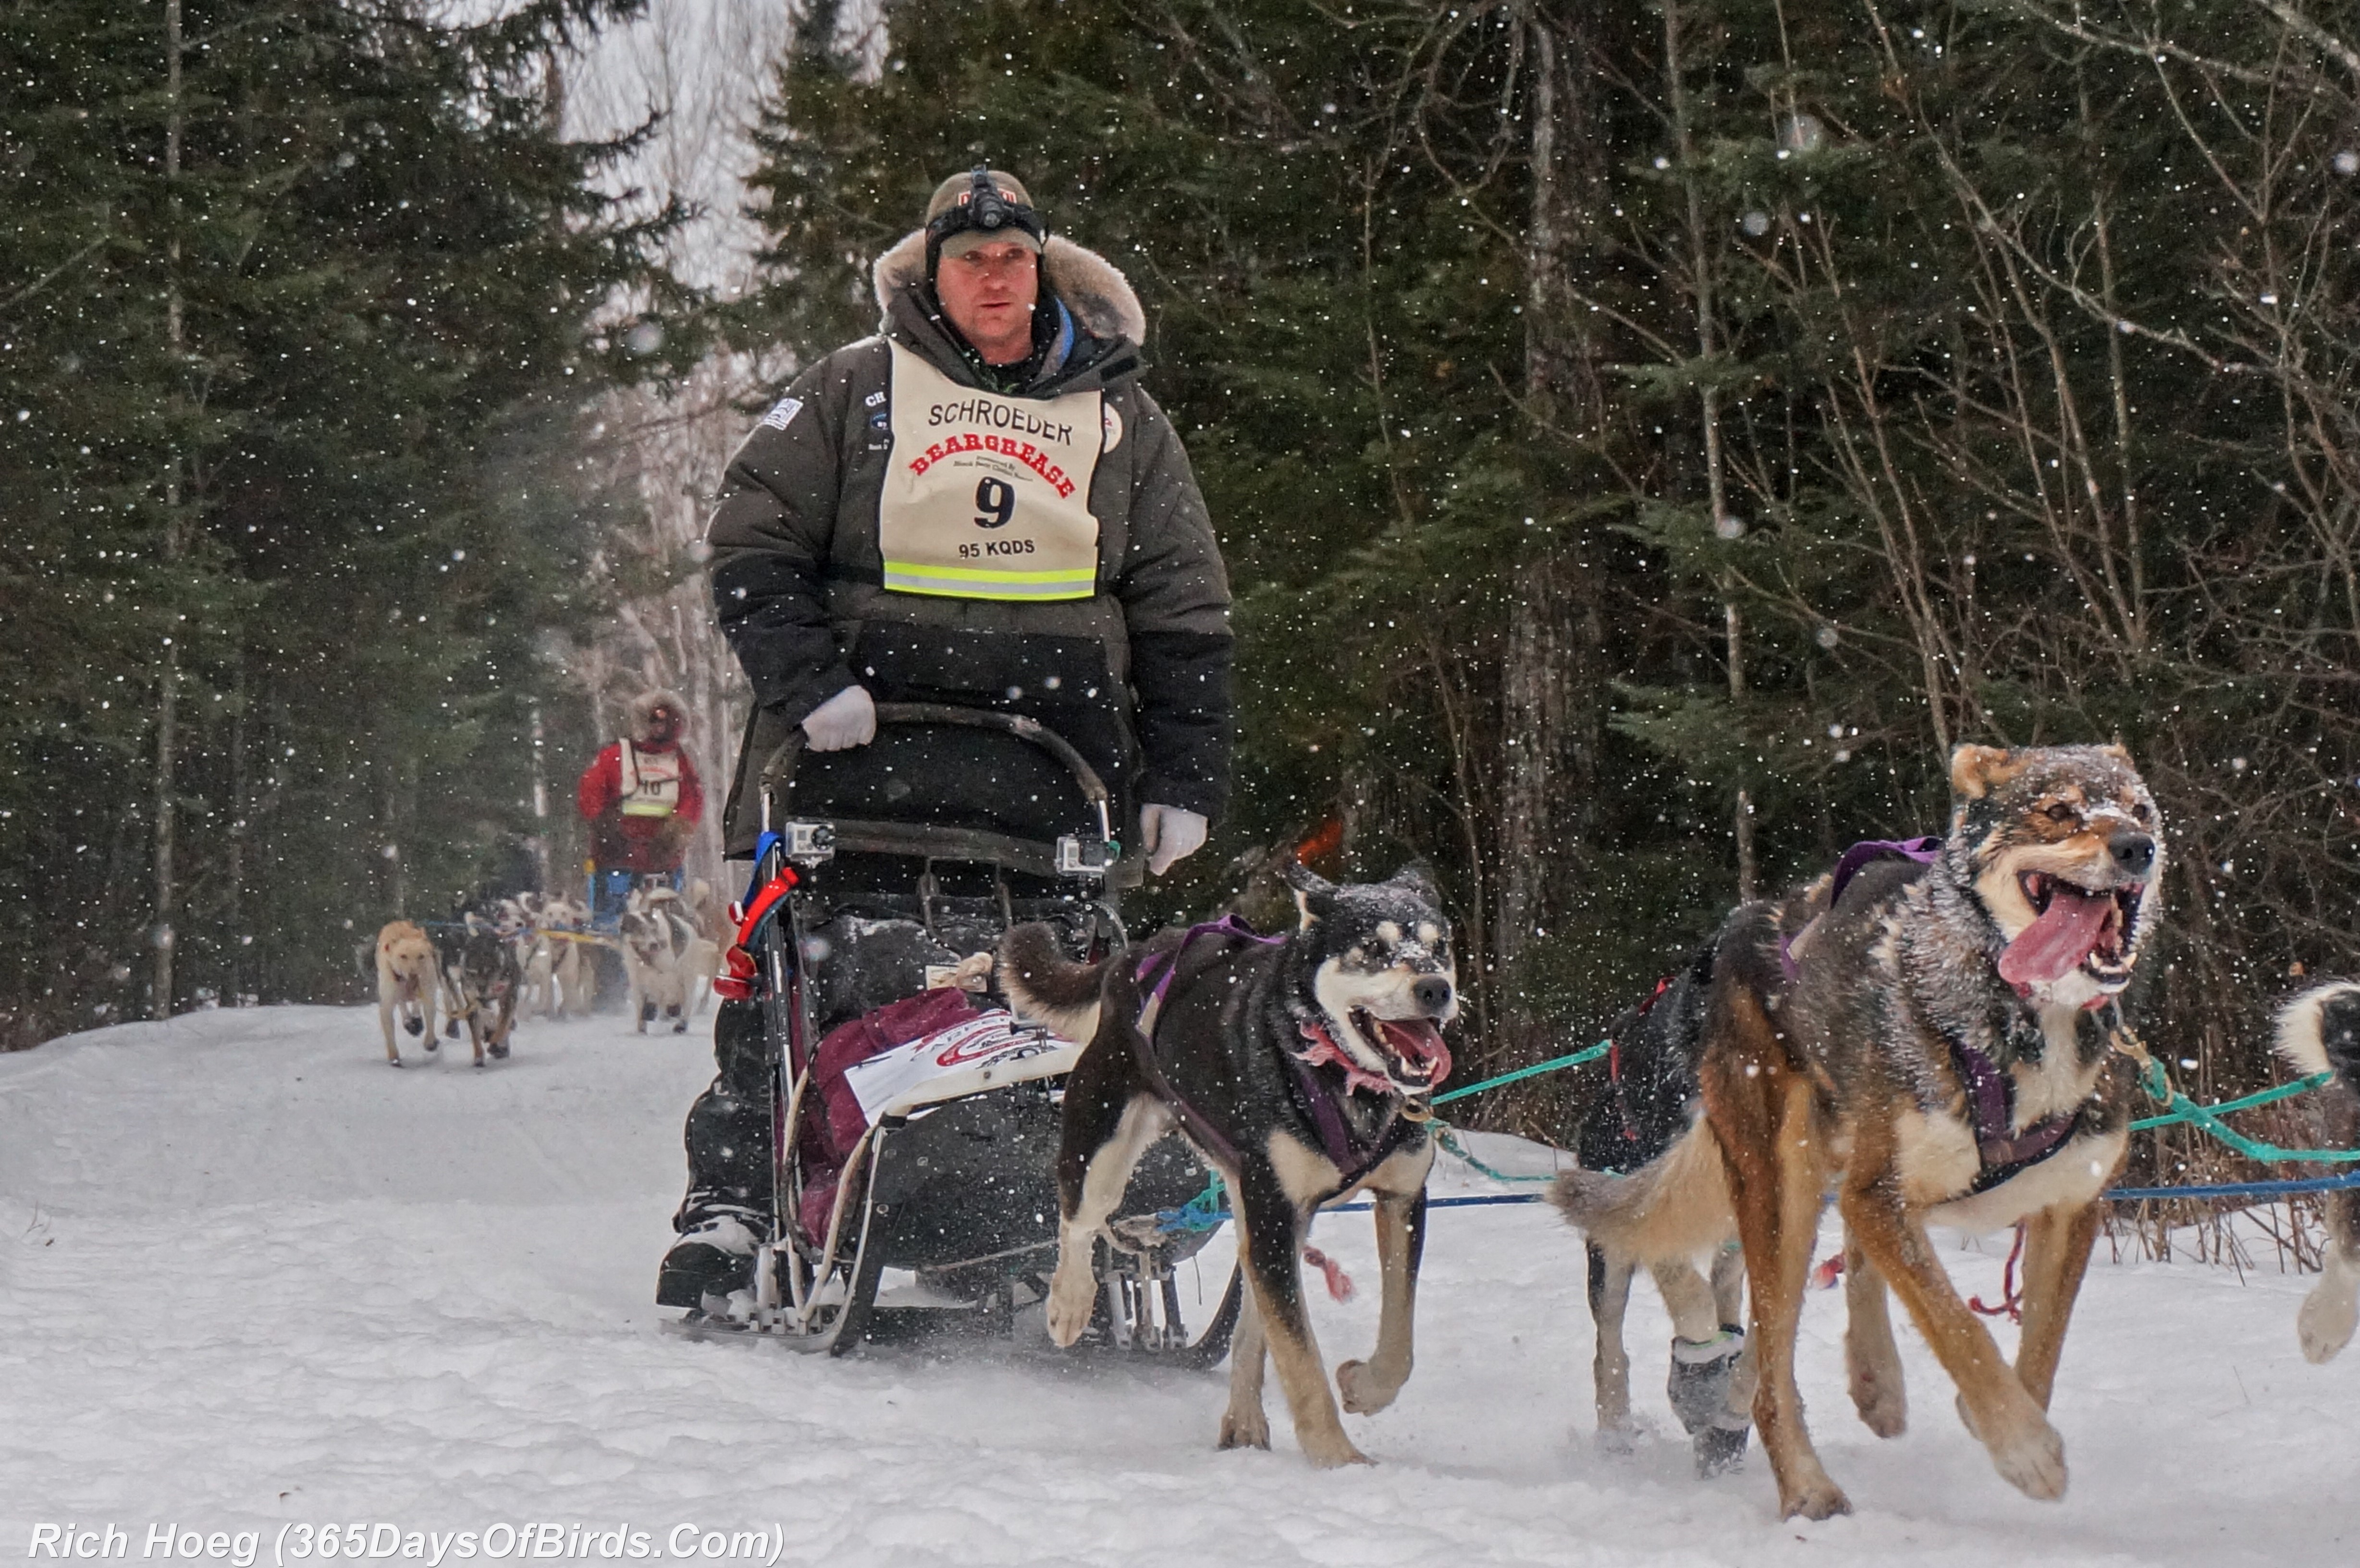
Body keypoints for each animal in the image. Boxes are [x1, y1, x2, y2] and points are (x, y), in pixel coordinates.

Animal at [1000, 864, 1453, 1464]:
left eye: (1440, 947)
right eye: (1373, 949)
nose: (1436, 988)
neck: (1340, 1077)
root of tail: (1137, 953)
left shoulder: (1400, 1198)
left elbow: (1398, 1340)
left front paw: (1363, 1387)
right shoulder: (1274, 1211)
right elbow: (1301, 1360)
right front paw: (1338, 1460)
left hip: (1263, 1215)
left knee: (1249, 1321)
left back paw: (1243, 1420)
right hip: (1103, 1148)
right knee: (1079, 1221)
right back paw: (1070, 1305)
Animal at [1548, 944, 1756, 1483]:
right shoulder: (1648, 1203)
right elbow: (1691, 1300)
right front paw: (1698, 1378)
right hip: (1610, 1256)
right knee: (1610, 1348)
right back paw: (1617, 1433)